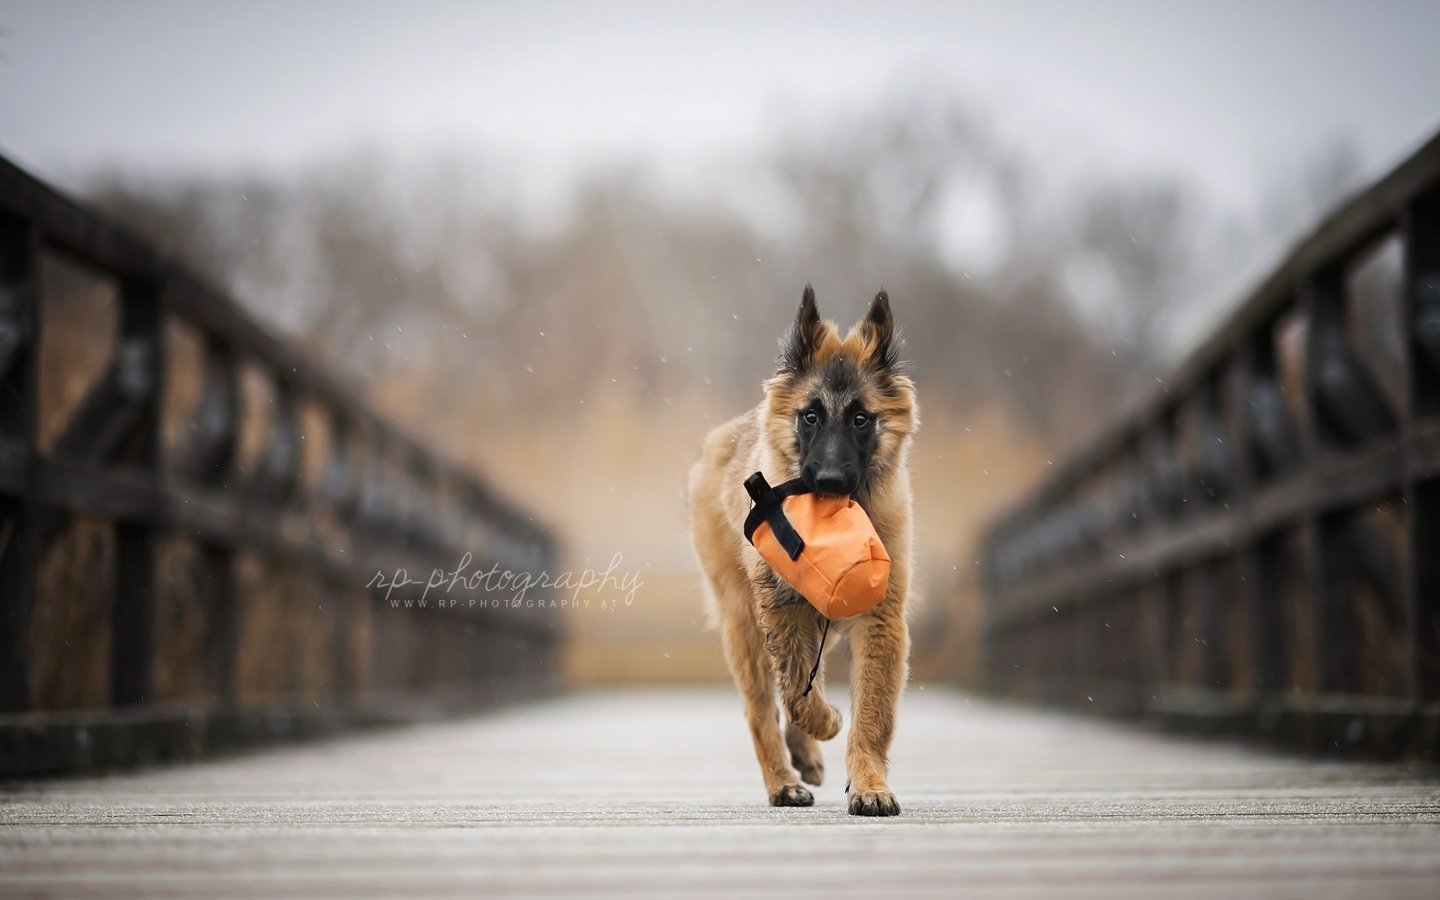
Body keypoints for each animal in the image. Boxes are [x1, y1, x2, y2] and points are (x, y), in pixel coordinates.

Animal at [682, 286, 910, 812]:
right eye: (810, 416)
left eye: (861, 419)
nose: (828, 482)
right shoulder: (782, 611)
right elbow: (797, 695)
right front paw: (828, 723)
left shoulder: (881, 620)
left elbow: (871, 714)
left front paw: (869, 785)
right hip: (742, 623)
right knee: (763, 708)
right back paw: (783, 781)